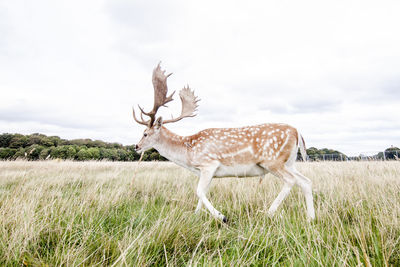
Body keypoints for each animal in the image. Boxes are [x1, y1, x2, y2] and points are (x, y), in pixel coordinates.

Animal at [134, 63, 316, 223]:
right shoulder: (206, 172)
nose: (136, 147)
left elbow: (199, 191)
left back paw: (269, 213)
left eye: (145, 133)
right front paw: (196, 216)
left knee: (290, 181)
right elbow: (202, 193)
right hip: (290, 162)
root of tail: (297, 131)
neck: (188, 153)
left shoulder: (209, 164)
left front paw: (222, 217)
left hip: (273, 161)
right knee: (306, 181)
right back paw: (310, 218)